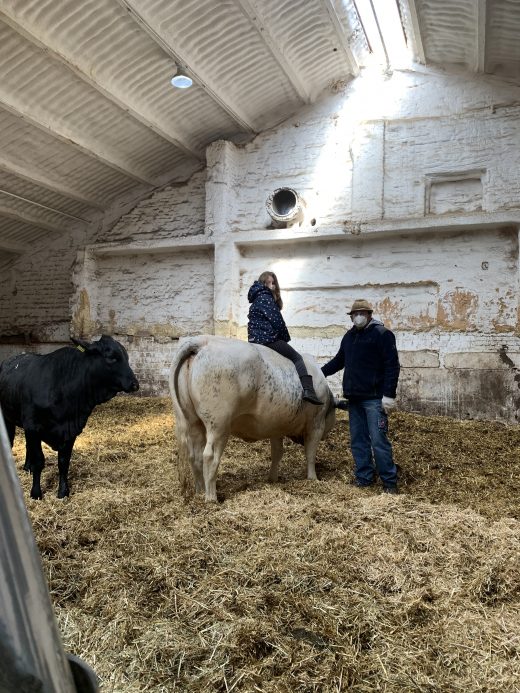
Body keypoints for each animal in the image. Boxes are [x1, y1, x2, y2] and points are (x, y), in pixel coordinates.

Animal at [0, 334, 139, 498]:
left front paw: (63, 492)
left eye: (127, 357)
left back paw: (27, 467)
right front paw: (36, 493)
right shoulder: (33, 426)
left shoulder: (71, 429)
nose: (135, 384)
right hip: (9, 419)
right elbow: (39, 461)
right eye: (111, 357)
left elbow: (63, 462)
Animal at [169, 334, 336, 500]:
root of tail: (203, 341)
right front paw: (313, 478)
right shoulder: (316, 423)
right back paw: (211, 497)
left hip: (193, 421)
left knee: (195, 455)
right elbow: (310, 453)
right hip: (218, 424)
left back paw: (200, 491)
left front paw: (273, 479)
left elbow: (277, 453)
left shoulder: (275, 427)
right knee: (209, 456)